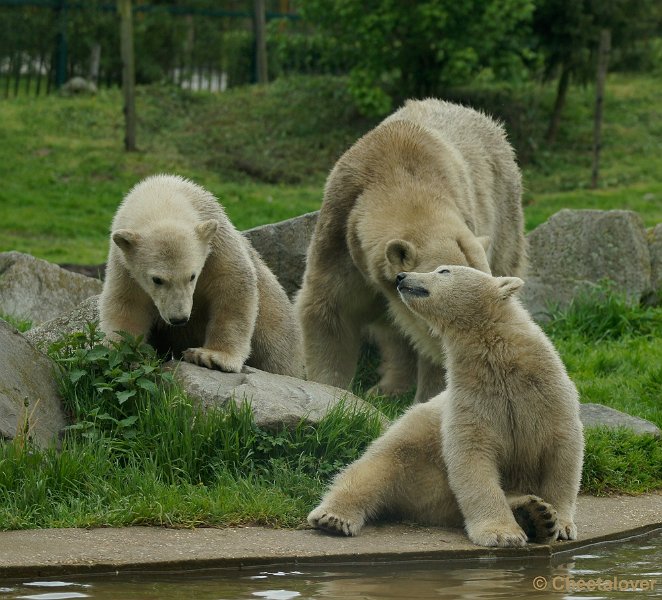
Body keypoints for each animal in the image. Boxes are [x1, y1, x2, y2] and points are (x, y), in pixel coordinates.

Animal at [99, 172, 306, 376]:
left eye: (192, 276)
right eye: (157, 279)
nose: (179, 319)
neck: (162, 194)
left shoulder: (217, 244)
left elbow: (232, 284)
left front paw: (212, 356)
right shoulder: (124, 265)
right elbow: (126, 304)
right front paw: (122, 356)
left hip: (274, 316)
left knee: (276, 353)